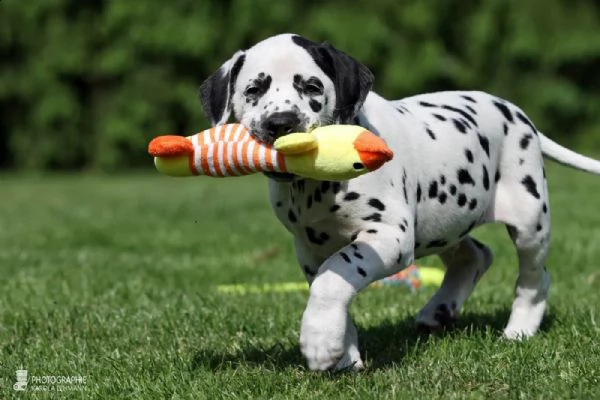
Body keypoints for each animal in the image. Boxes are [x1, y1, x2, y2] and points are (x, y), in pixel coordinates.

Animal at [198, 32, 600, 370]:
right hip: (442, 223)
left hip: (530, 221)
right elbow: (331, 284)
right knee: (475, 255)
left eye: (311, 86)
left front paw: (319, 343)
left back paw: (520, 329)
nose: (281, 122)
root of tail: (516, 113)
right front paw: (344, 352)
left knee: (535, 277)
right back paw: (439, 310)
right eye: (254, 89)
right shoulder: (309, 250)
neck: (314, 186)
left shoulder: (388, 237)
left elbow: (334, 278)